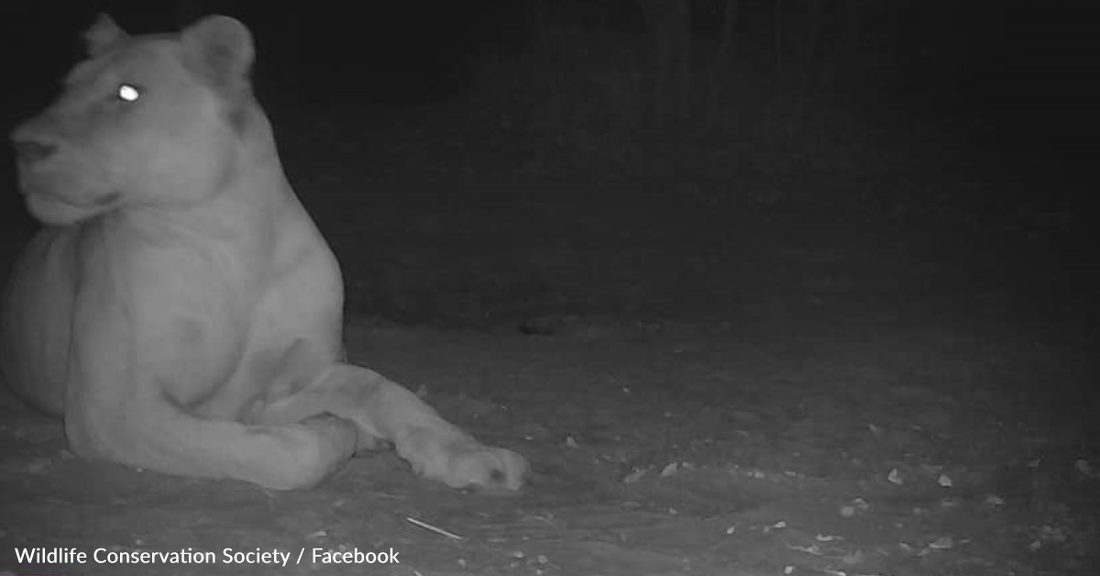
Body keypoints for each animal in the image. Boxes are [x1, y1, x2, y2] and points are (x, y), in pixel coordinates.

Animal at [0, 14, 528, 491]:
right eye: (66, 87)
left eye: (127, 93)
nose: (23, 146)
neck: (234, 236)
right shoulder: (113, 410)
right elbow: (284, 450)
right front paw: (338, 432)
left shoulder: (296, 374)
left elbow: (382, 389)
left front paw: (476, 457)